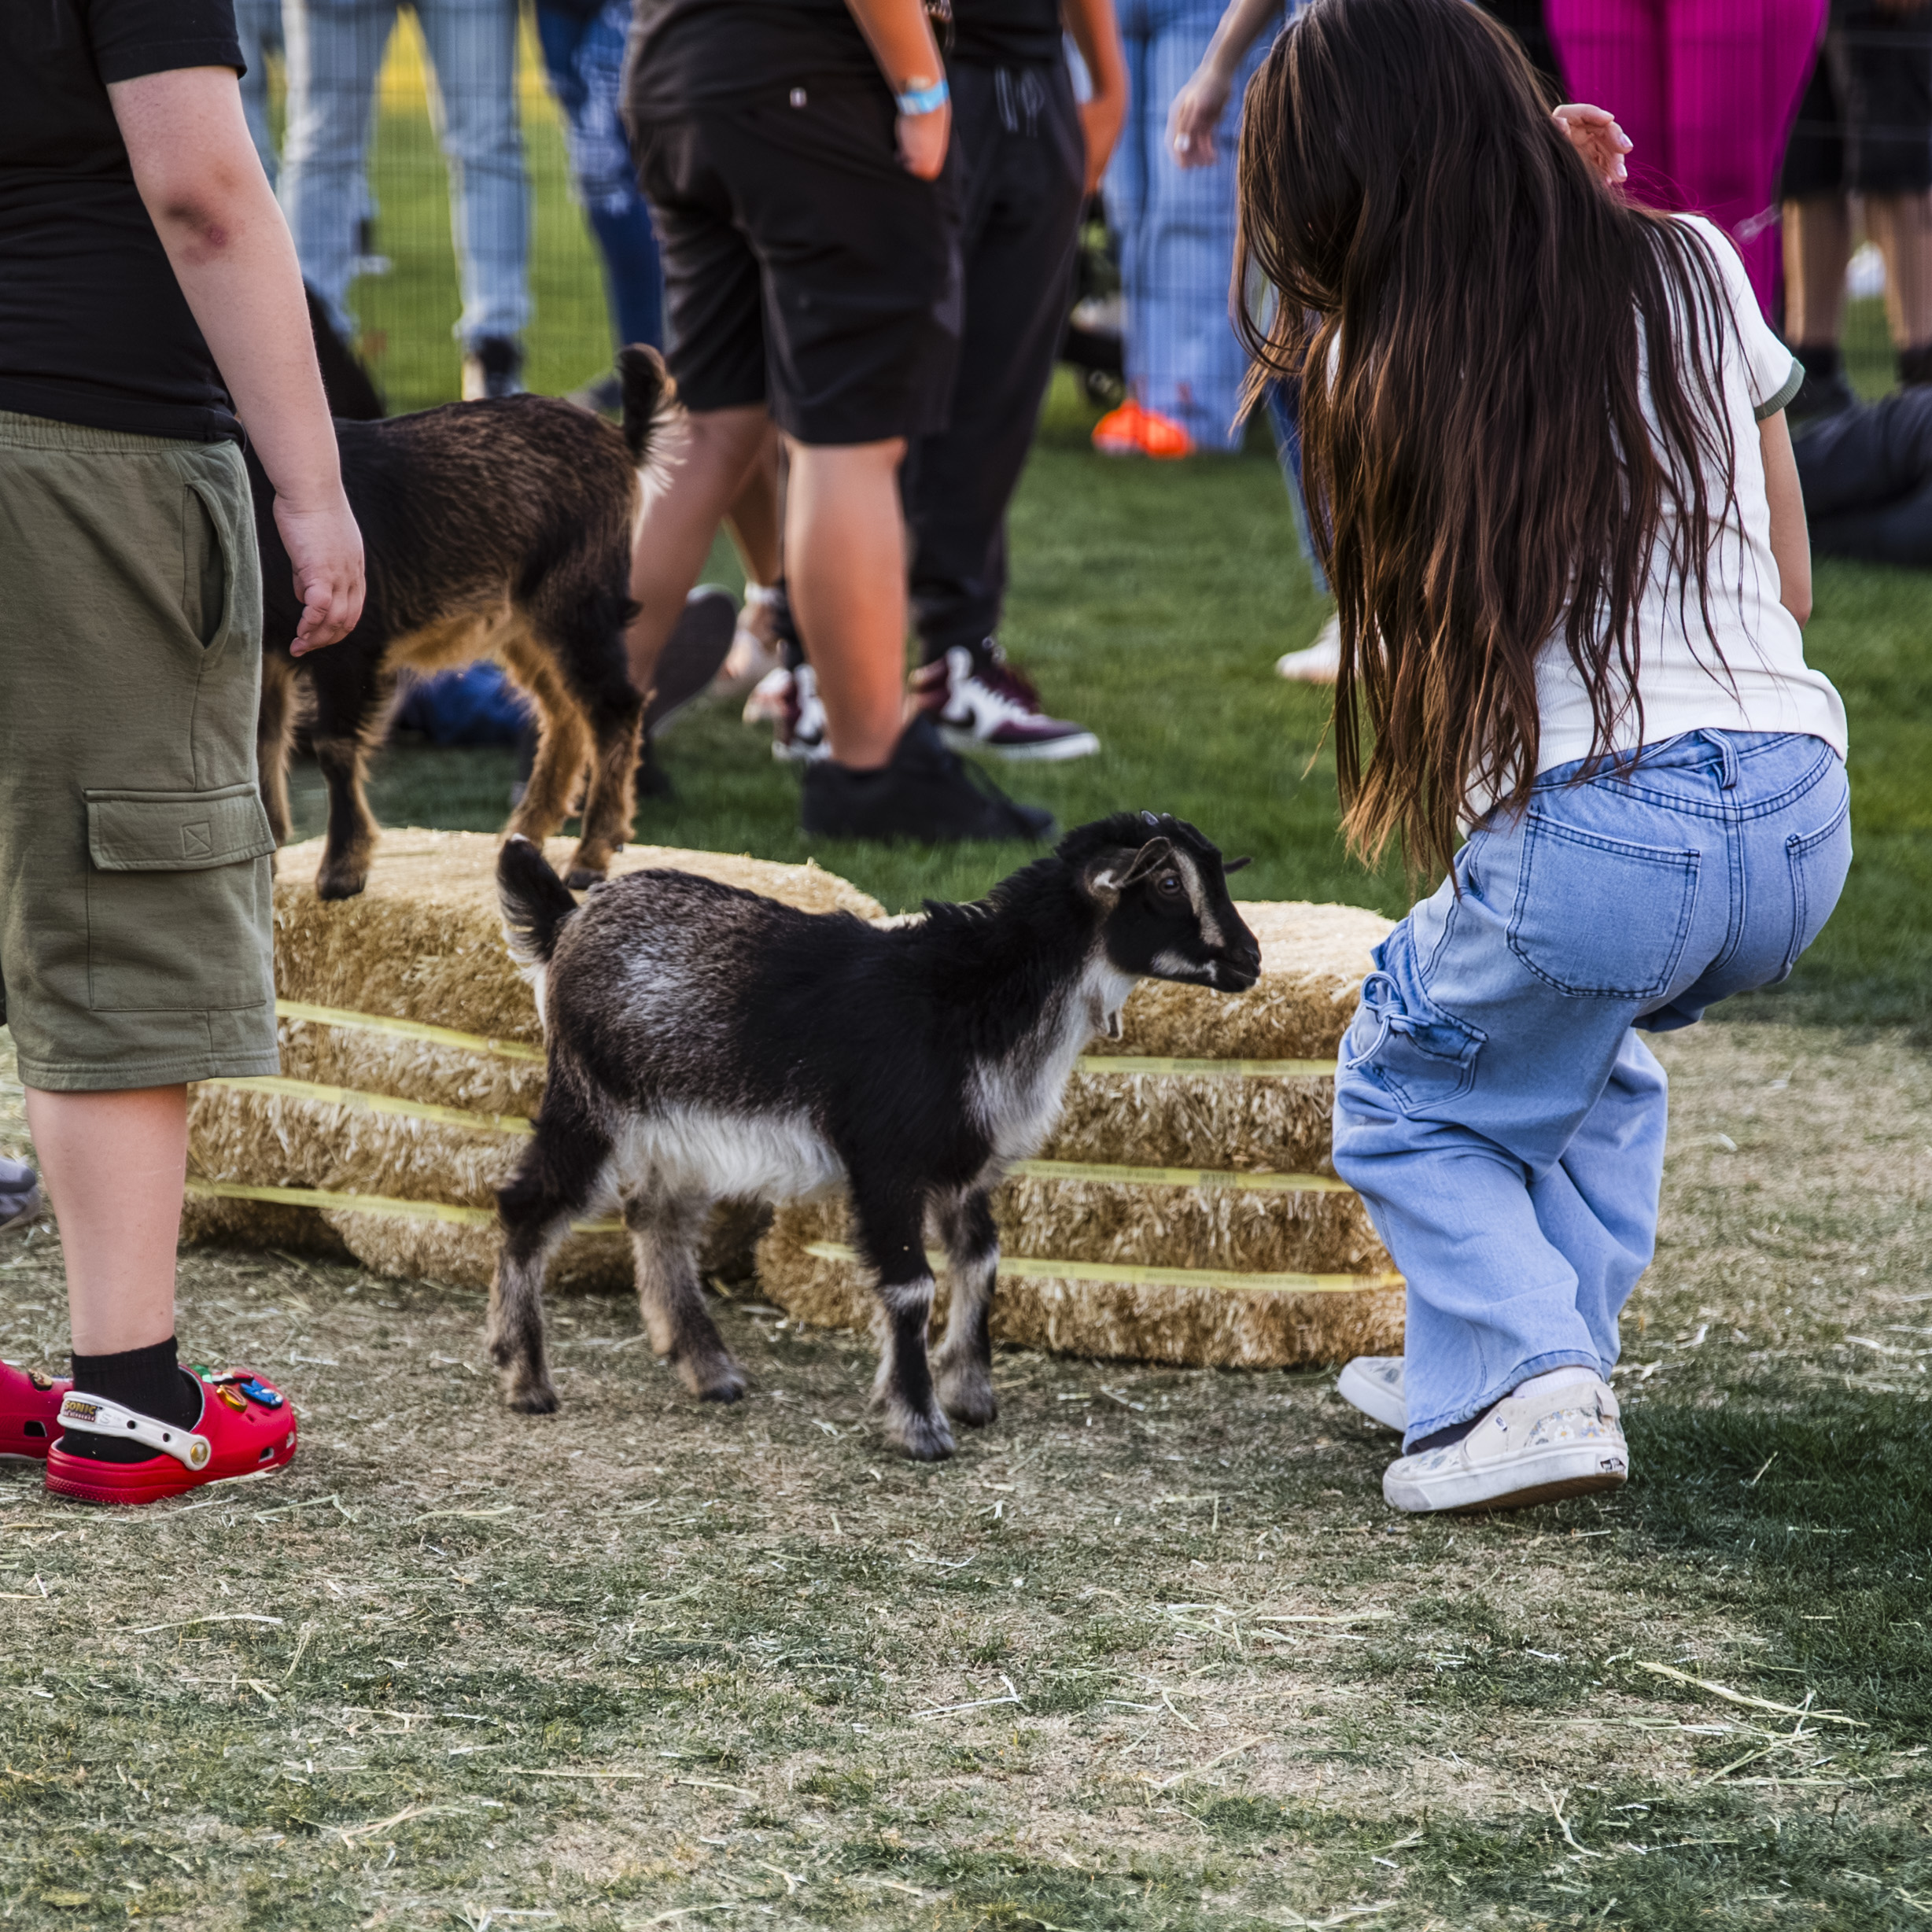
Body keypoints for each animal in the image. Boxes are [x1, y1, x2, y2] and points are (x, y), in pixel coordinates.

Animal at [247, 346, 666, 900]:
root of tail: (622, 440)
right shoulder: (263, 652)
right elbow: (258, 746)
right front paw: (266, 866)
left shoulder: (348, 642)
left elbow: (333, 747)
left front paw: (341, 871)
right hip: (523, 626)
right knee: (563, 715)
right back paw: (521, 837)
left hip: (579, 601)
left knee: (613, 708)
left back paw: (590, 857)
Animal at [487, 815, 1262, 1458]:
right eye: (1168, 882)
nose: (1250, 959)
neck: (974, 998)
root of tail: (568, 921)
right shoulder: (886, 1160)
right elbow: (912, 1285)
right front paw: (921, 1426)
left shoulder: (962, 1166)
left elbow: (982, 1259)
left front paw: (970, 1394)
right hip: (587, 1100)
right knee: (529, 1204)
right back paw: (525, 1379)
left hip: (681, 1132)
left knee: (658, 1219)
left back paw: (711, 1372)